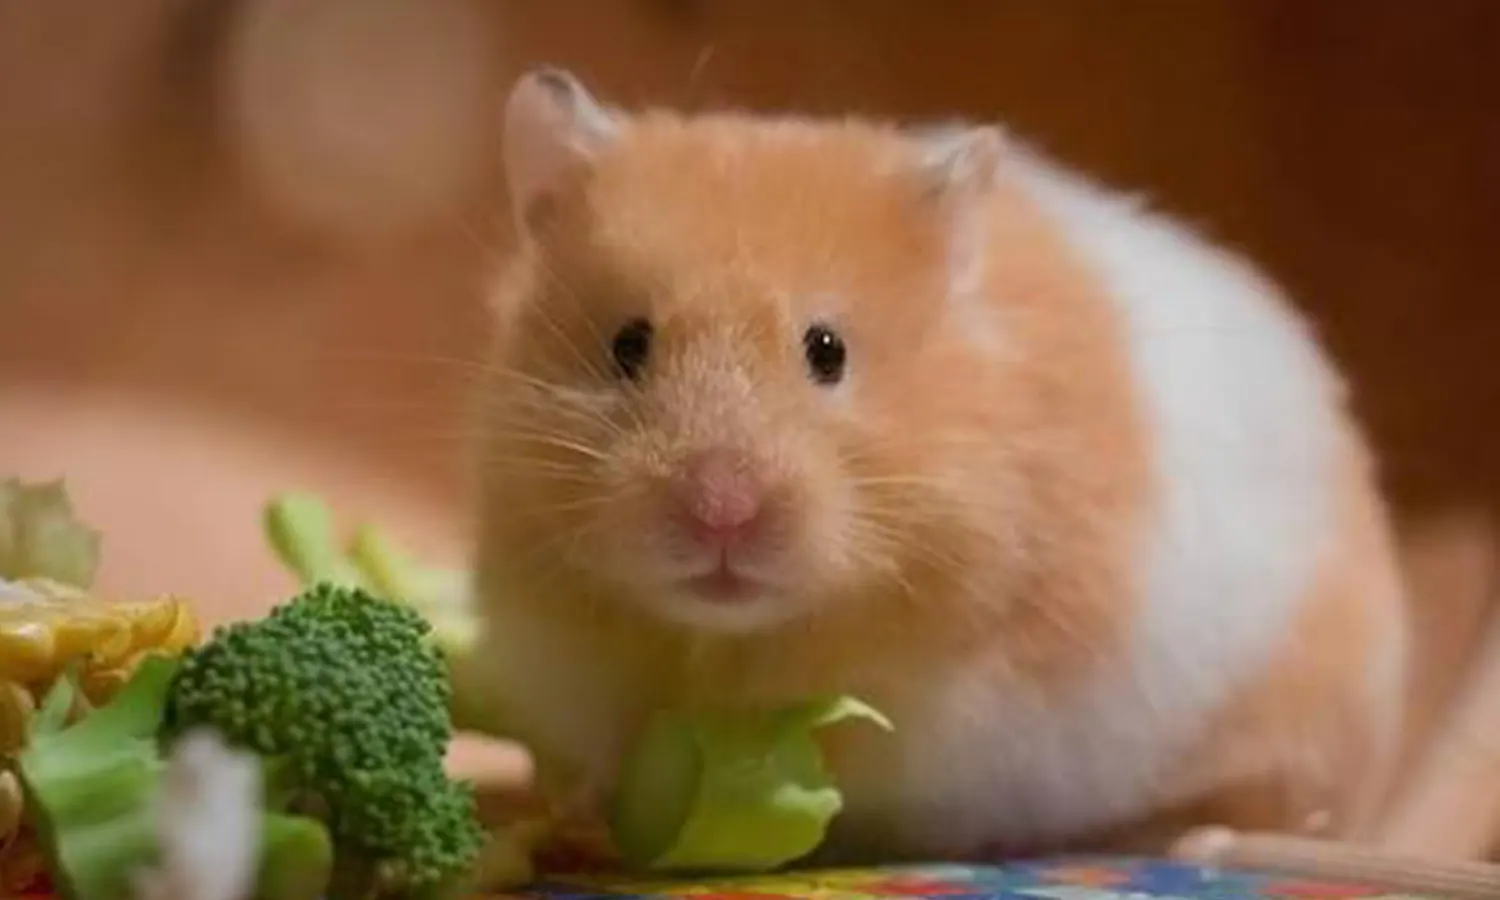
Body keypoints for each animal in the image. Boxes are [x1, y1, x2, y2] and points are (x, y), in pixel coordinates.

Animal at [469, 67, 1410, 862]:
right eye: (627, 345)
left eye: (827, 350)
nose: (722, 513)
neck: (732, 641)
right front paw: (591, 815)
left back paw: (1188, 838)